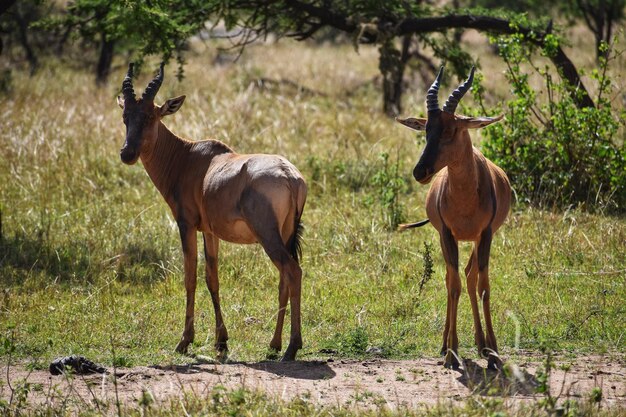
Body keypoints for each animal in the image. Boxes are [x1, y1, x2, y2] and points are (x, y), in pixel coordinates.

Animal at [117, 62, 308, 360]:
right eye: (126, 115)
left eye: (150, 116)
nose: (127, 154)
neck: (188, 158)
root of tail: (290, 176)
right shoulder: (210, 231)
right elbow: (212, 278)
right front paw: (221, 341)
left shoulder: (186, 225)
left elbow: (190, 277)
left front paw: (184, 341)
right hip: (286, 235)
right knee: (283, 280)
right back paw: (274, 345)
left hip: (268, 235)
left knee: (293, 272)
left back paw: (291, 347)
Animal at [398, 66, 510, 368]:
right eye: (427, 129)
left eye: (452, 129)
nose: (420, 171)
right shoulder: (447, 234)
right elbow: (453, 286)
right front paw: (452, 354)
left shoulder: (486, 234)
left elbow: (483, 286)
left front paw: (494, 354)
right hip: (448, 239)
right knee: (454, 279)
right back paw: (446, 345)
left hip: (475, 240)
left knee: (471, 277)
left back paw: (484, 346)